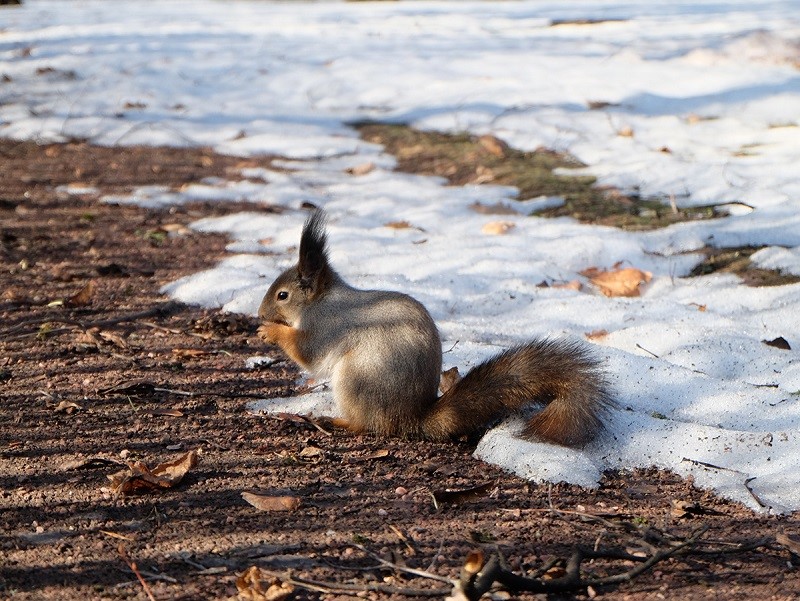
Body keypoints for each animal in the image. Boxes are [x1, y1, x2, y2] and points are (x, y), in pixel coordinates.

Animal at [256, 211, 612, 446]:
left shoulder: (326, 326)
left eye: (282, 295)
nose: (259, 313)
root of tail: (408, 419)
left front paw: (271, 331)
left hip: (354, 379)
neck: (322, 301)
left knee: (368, 426)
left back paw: (339, 421)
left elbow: (308, 354)